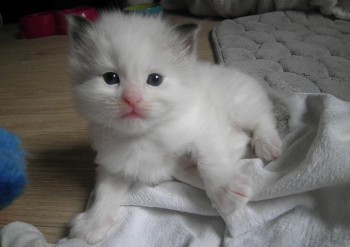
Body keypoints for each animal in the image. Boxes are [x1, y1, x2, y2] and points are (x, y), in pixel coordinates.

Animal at [67, 11, 284, 243]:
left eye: (154, 79)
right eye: (110, 78)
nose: (132, 99)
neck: (143, 136)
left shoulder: (203, 129)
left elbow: (211, 161)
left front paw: (226, 190)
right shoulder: (115, 165)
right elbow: (104, 192)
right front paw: (92, 223)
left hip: (241, 106)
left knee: (264, 119)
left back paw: (268, 146)